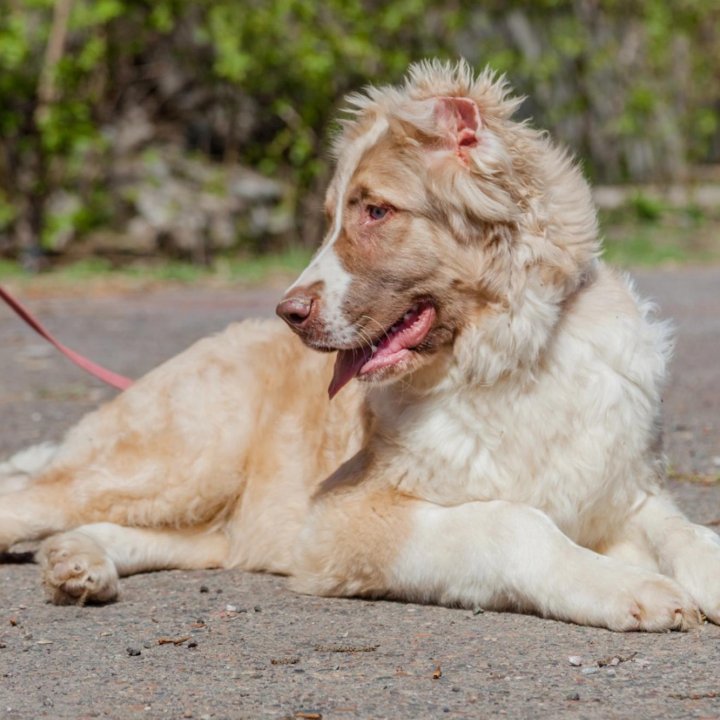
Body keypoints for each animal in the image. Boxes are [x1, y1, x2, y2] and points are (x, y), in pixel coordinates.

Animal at [1, 62, 720, 632]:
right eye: (333, 216)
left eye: (375, 211)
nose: (288, 313)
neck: (511, 363)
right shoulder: (338, 517)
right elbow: (512, 522)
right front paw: (631, 588)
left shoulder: (623, 494)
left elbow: (685, 531)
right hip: (179, 462)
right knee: (27, 500)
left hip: (203, 519)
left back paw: (76, 563)